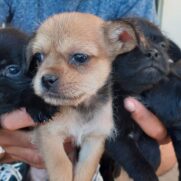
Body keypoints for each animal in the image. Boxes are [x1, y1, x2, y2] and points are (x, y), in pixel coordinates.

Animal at [29, 13, 136, 181]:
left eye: (80, 57)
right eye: (39, 57)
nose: (45, 79)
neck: (82, 107)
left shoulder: (94, 140)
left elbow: (85, 170)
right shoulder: (50, 136)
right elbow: (62, 167)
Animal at [104, 18, 181, 181]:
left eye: (162, 45)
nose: (152, 53)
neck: (132, 91)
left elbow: (151, 146)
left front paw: (152, 156)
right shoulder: (116, 136)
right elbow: (137, 161)